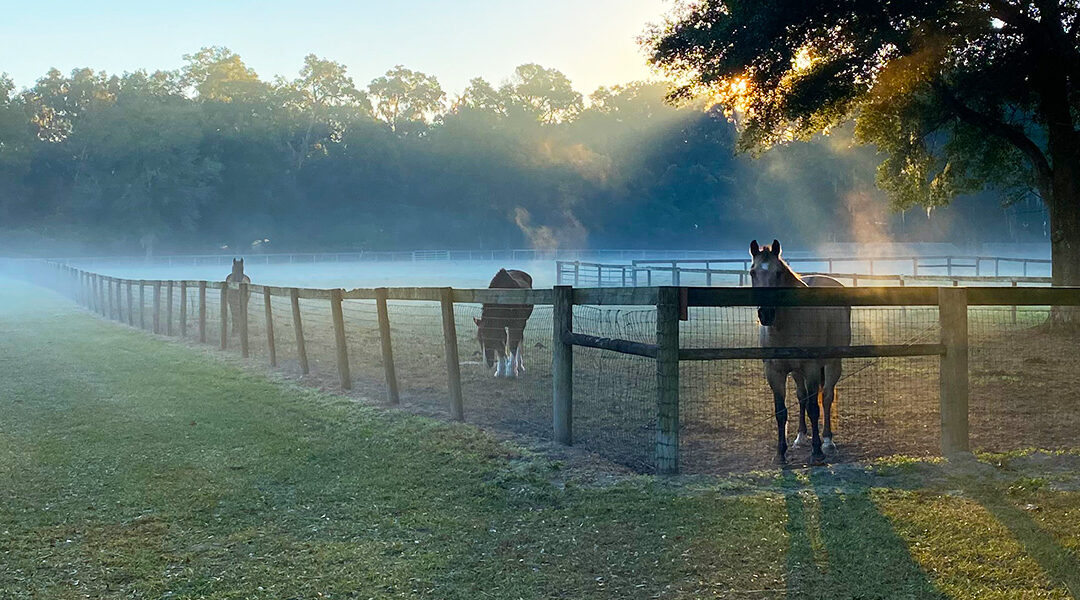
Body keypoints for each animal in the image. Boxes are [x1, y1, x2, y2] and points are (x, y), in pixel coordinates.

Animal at [751, 239, 851, 464]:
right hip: (797, 372)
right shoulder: (774, 372)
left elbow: (814, 408)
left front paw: (817, 452)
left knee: (827, 397)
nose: (766, 314)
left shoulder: (812, 367)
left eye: (778, 272)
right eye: (752, 272)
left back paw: (827, 441)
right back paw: (801, 437)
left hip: (832, 363)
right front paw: (780, 454)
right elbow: (781, 411)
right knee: (802, 397)